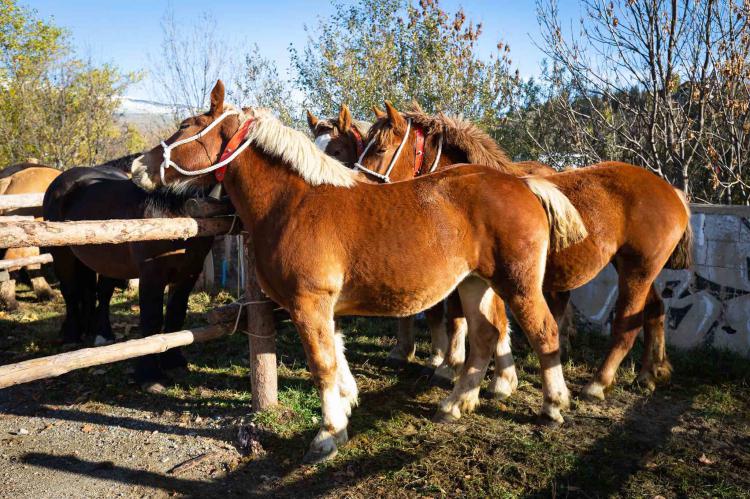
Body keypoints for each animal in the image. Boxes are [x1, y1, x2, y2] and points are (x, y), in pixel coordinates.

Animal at [43, 164, 214, 390]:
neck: (175, 210)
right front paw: (150, 376)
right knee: (70, 293)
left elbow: (176, 314)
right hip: (63, 255)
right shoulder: (152, 275)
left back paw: (101, 333)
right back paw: (72, 335)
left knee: (100, 294)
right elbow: (151, 321)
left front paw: (174, 363)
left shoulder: (188, 274)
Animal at [132, 81, 592, 464]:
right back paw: (455, 404)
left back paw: (553, 406)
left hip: (518, 285)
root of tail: (522, 183)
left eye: (186, 126)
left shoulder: (309, 304)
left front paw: (328, 433)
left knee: (544, 332)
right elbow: (338, 355)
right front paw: (347, 403)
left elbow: (322, 364)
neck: (293, 202)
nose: (138, 166)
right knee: (484, 336)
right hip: (475, 284)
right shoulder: (325, 307)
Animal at [362, 100, 696, 398]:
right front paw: (466, 370)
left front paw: (495, 379)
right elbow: (467, 320)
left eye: (379, 149)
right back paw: (650, 373)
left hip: (636, 271)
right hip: (637, 270)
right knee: (655, 311)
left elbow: (491, 324)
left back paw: (598, 383)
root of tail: (671, 191)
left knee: (627, 325)